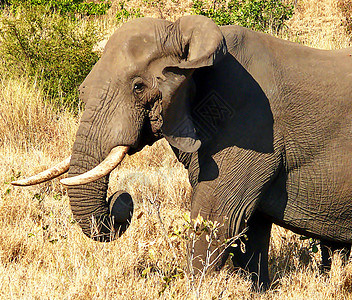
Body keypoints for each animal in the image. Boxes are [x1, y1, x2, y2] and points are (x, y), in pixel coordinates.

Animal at [12, 15, 352, 290]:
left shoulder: (251, 125)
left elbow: (219, 220)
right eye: (83, 91)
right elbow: (250, 235)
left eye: (138, 87)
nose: (122, 200)